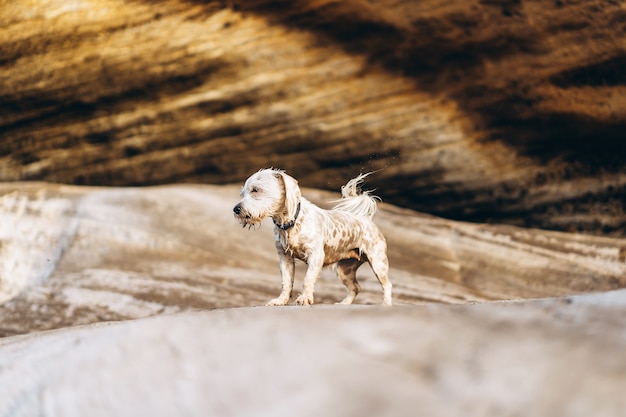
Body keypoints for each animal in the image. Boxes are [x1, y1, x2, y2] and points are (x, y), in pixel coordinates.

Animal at [233, 168, 390, 306]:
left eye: (256, 190)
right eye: (243, 193)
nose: (236, 209)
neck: (291, 223)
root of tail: (367, 219)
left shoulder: (315, 256)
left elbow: (307, 279)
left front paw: (305, 298)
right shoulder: (285, 258)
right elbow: (286, 283)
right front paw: (281, 300)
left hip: (378, 263)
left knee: (387, 285)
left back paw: (386, 304)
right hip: (344, 271)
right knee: (355, 288)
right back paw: (344, 303)